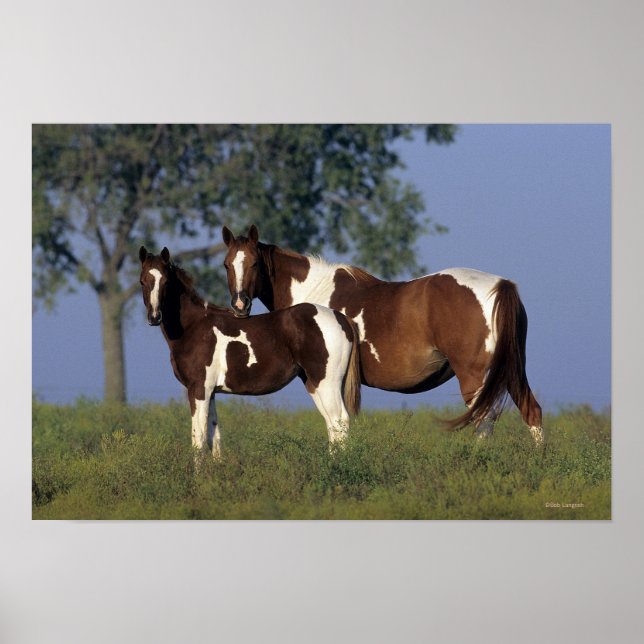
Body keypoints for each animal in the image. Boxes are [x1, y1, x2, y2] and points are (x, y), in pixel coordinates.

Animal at [138, 246, 361, 457]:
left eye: (166, 281)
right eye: (142, 281)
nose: (154, 317)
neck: (194, 326)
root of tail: (342, 318)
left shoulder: (198, 389)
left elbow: (198, 440)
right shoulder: (210, 392)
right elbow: (214, 438)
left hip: (327, 383)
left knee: (339, 421)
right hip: (314, 383)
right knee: (331, 425)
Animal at [221, 225, 544, 444]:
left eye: (254, 263)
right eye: (226, 264)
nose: (239, 305)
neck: (312, 297)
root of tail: (501, 286)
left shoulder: (319, 378)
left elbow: (335, 424)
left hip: (476, 378)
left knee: (484, 422)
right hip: (511, 371)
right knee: (532, 412)